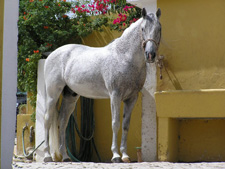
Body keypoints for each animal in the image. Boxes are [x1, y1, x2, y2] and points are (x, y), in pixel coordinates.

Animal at [43, 7, 161, 162]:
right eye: (142, 28)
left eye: (159, 28)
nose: (150, 54)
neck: (124, 57)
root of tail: (52, 54)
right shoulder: (115, 95)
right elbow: (115, 124)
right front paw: (116, 156)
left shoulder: (132, 98)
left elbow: (125, 126)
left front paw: (125, 156)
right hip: (53, 94)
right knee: (47, 120)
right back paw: (47, 156)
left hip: (70, 96)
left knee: (62, 122)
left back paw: (65, 157)